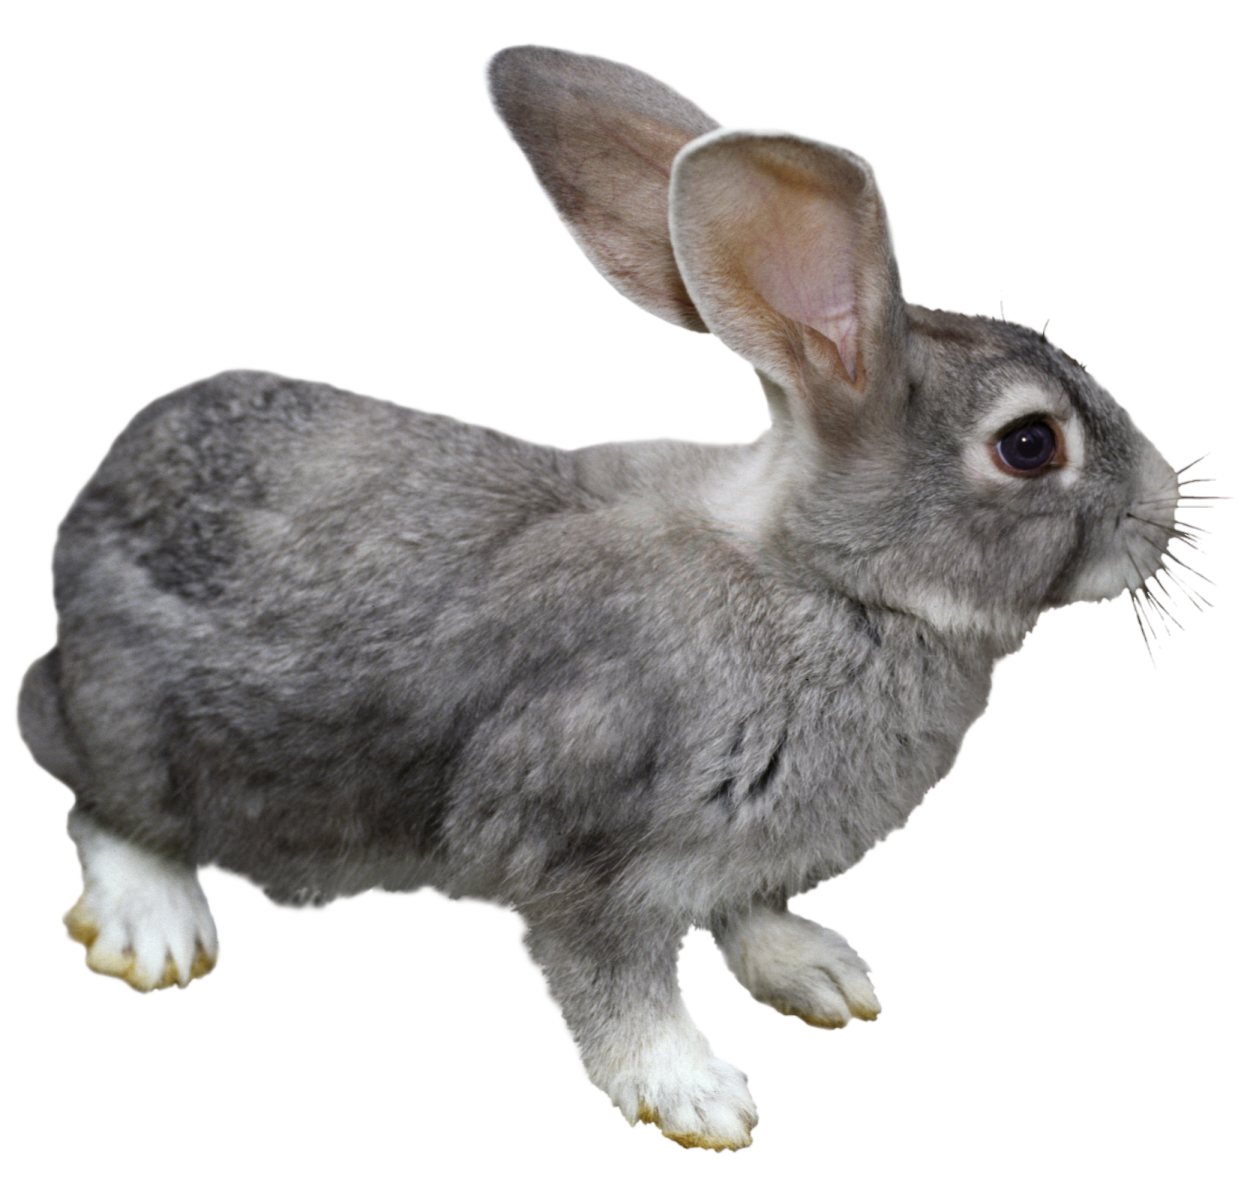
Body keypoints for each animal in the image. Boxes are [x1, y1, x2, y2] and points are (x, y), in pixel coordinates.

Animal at [14, 41, 1226, 1153]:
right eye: (1029, 445)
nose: (1165, 502)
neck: (828, 578)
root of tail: (96, 505)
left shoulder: (748, 854)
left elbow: (749, 910)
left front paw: (820, 975)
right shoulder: (587, 849)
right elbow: (617, 981)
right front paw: (694, 1095)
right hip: (144, 726)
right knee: (97, 799)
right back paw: (155, 929)